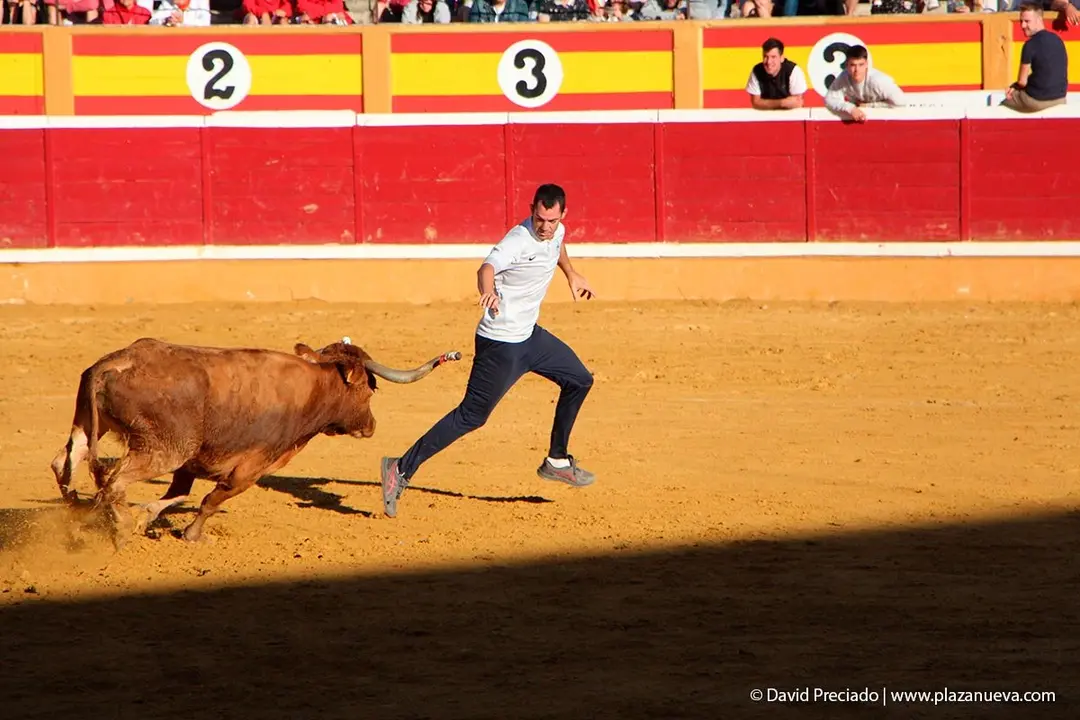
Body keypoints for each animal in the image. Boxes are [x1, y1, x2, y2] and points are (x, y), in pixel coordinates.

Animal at [49, 336, 461, 547]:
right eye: (370, 389)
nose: (371, 426)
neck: (312, 387)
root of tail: (115, 363)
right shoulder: (250, 467)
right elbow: (212, 499)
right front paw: (191, 535)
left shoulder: (191, 463)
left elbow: (179, 494)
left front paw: (147, 517)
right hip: (162, 449)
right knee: (114, 480)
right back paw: (117, 530)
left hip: (89, 425)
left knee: (65, 464)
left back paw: (77, 520)